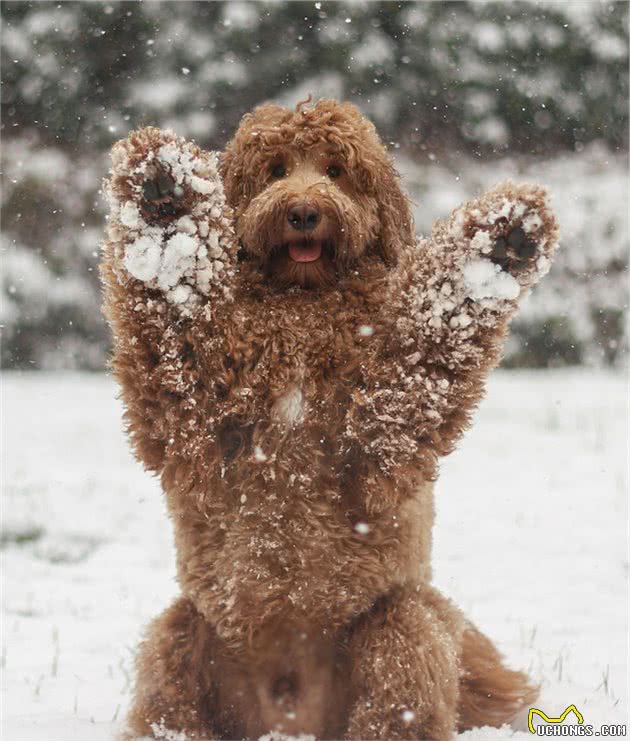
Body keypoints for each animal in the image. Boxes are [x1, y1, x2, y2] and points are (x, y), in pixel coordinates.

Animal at [101, 99, 560, 740]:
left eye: (337, 170)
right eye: (274, 169)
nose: (303, 212)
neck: (303, 306)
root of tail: (291, 716)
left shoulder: (383, 425)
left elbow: (428, 334)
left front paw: (504, 240)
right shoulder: (193, 406)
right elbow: (175, 304)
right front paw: (163, 192)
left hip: (400, 624)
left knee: (402, 683)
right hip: (186, 630)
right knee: (172, 684)